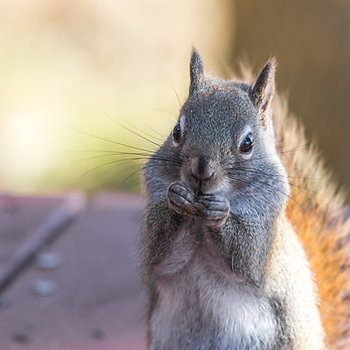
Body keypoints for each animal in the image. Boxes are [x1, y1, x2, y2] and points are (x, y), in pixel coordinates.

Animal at [140, 50, 350, 350]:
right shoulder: (160, 240)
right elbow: (162, 255)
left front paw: (220, 214)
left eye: (248, 143)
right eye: (176, 132)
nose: (200, 172)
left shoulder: (265, 237)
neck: (199, 218)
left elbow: (246, 256)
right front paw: (177, 200)